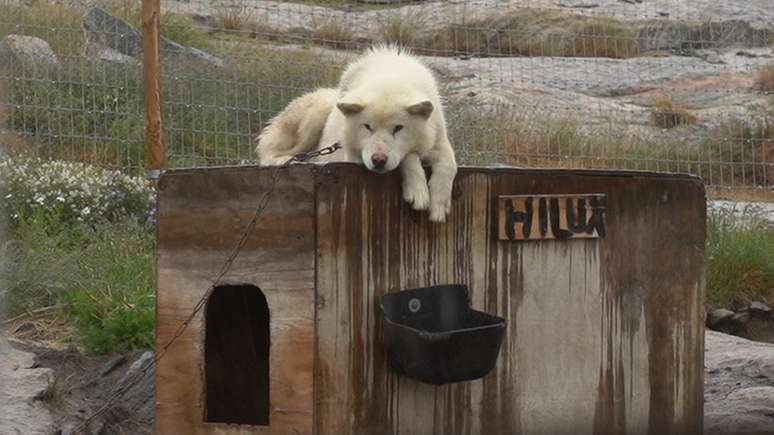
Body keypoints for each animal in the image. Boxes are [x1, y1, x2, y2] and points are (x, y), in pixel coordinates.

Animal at [258, 45, 458, 221]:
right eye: (367, 127)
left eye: (398, 128)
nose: (378, 160)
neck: (391, 75)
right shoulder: (355, 157)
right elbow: (409, 156)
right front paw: (418, 191)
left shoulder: (438, 140)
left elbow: (450, 164)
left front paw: (439, 206)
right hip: (316, 114)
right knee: (269, 151)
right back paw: (286, 160)